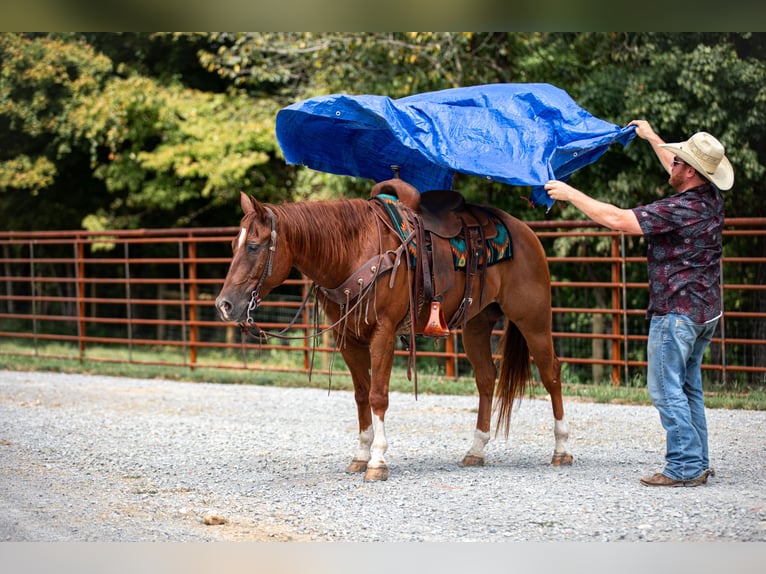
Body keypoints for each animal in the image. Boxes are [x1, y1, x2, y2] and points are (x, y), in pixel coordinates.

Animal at [215, 180, 573, 481]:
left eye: (254, 246)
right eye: (232, 244)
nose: (225, 304)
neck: (354, 251)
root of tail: (526, 233)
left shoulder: (383, 334)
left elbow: (378, 395)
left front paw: (378, 462)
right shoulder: (347, 339)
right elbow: (361, 395)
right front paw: (360, 455)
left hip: (534, 319)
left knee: (551, 373)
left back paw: (562, 450)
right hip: (476, 324)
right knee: (486, 378)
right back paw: (476, 451)